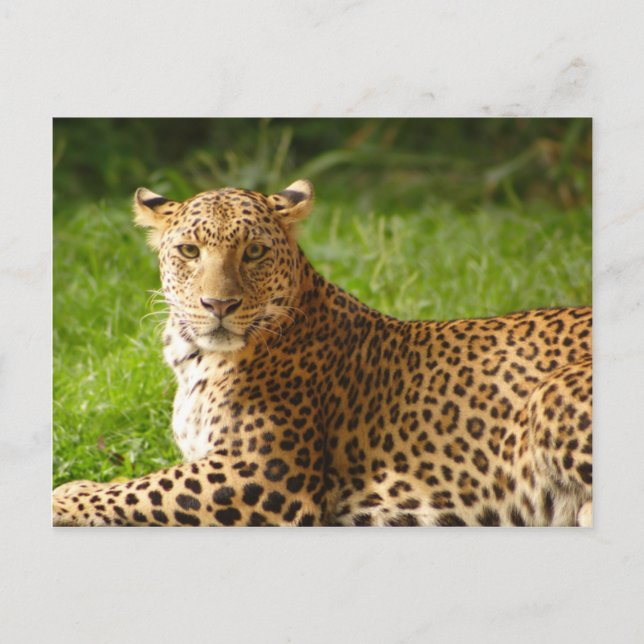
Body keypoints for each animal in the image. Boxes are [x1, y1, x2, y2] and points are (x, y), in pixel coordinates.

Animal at [53, 180, 592, 527]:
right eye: (189, 251)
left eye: (254, 252)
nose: (219, 305)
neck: (193, 359)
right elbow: (145, 482)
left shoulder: (263, 475)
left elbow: (144, 486)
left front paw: (65, 497)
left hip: (553, 393)